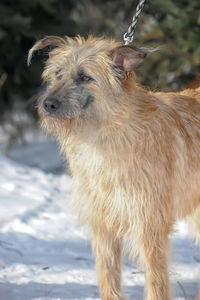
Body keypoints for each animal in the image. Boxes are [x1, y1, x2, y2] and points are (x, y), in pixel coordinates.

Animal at [27, 35, 200, 300]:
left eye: (85, 77)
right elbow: (108, 277)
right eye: (57, 74)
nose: (47, 104)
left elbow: (156, 282)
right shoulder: (103, 225)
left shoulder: (149, 227)